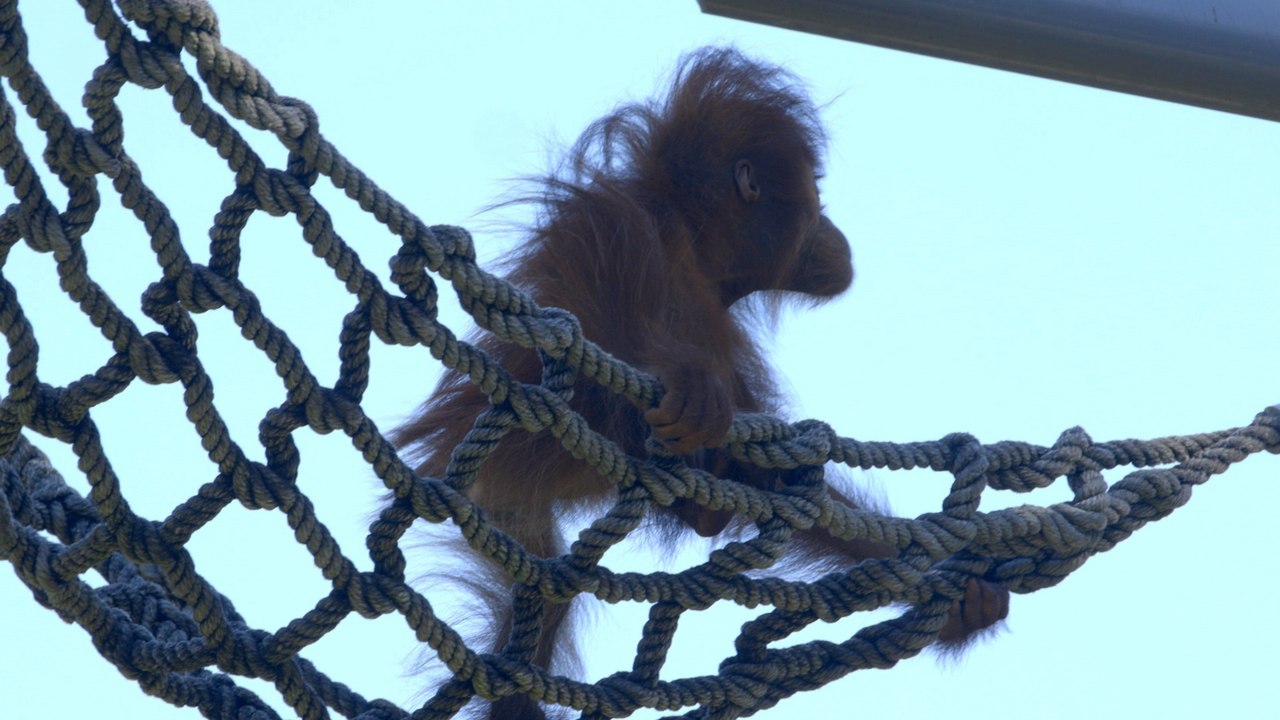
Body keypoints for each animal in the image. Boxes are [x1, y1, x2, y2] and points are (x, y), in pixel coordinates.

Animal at [394, 47, 1008, 719]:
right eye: (816, 194)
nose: (832, 229)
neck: (697, 245)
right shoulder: (617, 220)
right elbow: (590, 308)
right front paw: (687, 385)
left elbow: (771, 468)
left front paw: (965, 598)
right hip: (505, 484)